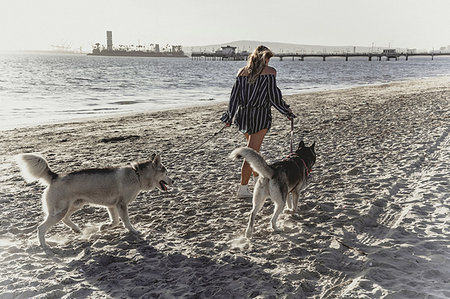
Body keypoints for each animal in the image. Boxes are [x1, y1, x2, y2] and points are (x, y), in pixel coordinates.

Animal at [16, 154, 172, 250]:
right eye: (166, 173)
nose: (173, 181)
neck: (137, 174)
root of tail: (56, 177)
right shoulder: (121, 205)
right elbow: (126, 221)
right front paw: (134, 231)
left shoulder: (112, 205)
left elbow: (115, 221)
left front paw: (104, 227)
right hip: (60, 211)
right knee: (41, 228)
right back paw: (44, 245)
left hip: (75, 205)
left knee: (65, 219)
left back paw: (76, 229)